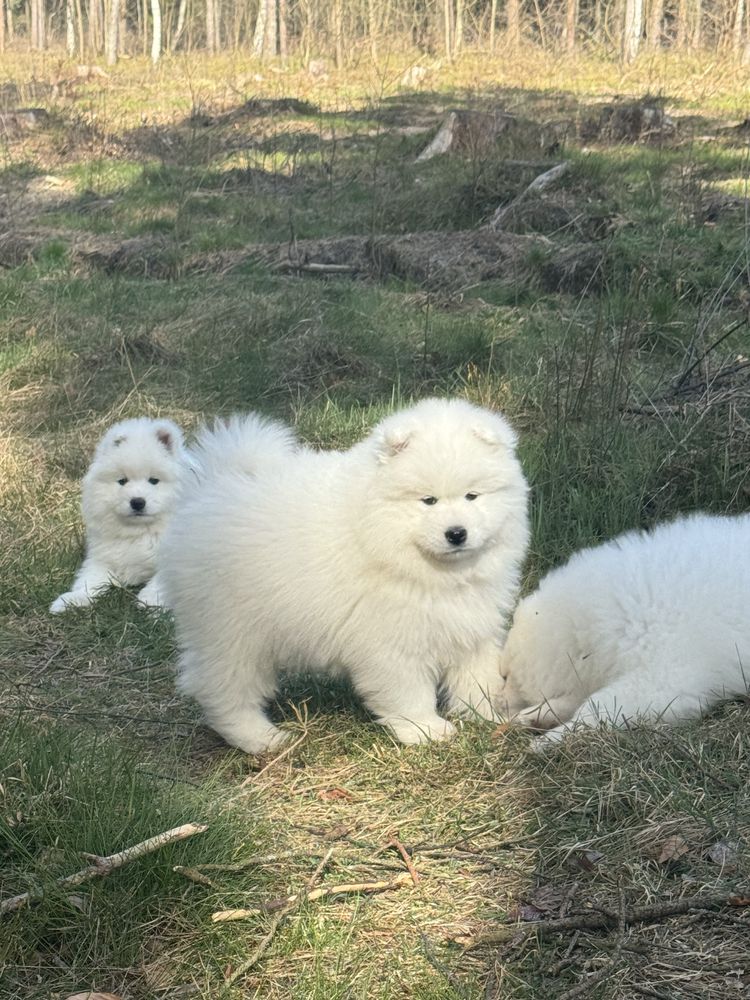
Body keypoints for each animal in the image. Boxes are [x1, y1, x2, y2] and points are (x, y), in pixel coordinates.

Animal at [50, 418, 189, 612]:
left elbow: (162, 579)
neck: (141, 532)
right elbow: (88, 580)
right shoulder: (103, 558)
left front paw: (150, 601)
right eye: (122, 481)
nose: (137, 502)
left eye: (154, 480)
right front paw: (71, 600)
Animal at [162, 398, 532, 752]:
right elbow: (408, 690)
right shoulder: (391, 640)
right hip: (231, 631)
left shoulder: (471, 624)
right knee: (223, 689)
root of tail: (208, 490)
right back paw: (260, 738)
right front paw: (425, 729)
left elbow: (477, 674)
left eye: (472, 496)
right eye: (428, 500)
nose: (456, 533)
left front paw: (488, 715)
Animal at [500, 516, 750, 744]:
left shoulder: (664, 679)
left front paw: (552, 739)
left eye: (505, 677)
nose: (498, 703)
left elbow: (597, 707)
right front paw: (538, 715)